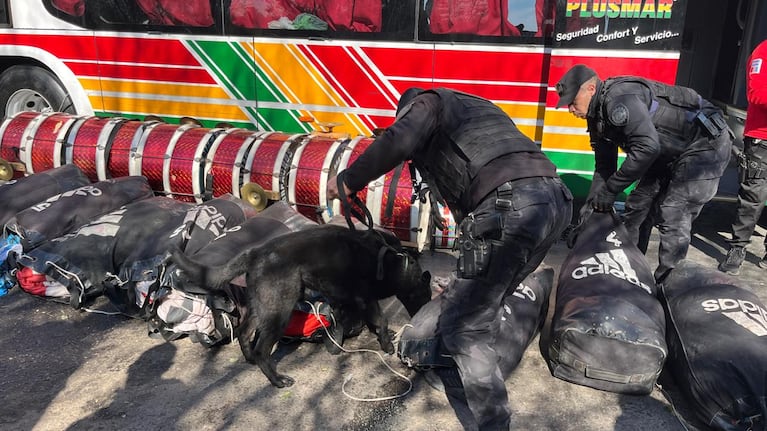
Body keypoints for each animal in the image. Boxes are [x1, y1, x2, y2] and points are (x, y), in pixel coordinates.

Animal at [170, 224, 432, 390]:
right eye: (425, 295)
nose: (421, 314)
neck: (392, 262)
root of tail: (254, 253)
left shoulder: (350, 299)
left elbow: (352, 319)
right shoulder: (366, 299)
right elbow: (381, 320)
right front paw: (387, 344)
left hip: (262, 308)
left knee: (244, 333)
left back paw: (250, 360)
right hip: (279, 312)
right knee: (262, 348)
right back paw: (277, 380)